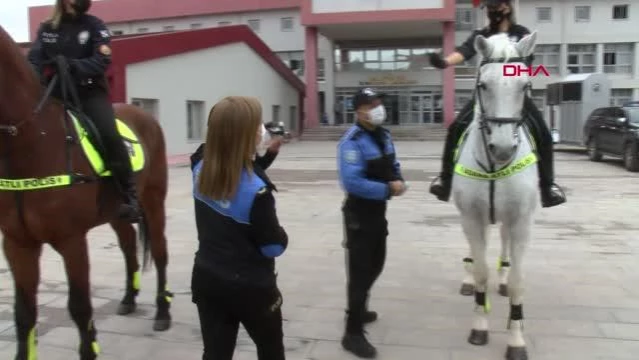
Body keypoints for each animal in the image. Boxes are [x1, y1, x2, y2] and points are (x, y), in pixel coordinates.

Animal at [0, 26, 172, 360]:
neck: (33, 141)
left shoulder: (72, 241)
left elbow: (80, 307)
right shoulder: (17, 244)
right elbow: (23, 313)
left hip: (154, 200)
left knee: (159, 253)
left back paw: (162, 313)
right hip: (117, 212)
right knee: (129, 248)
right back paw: (129, 299)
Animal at [456, 31, 540, 360]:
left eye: (525, 86)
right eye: (483, 85)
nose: (503, 149)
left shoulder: (521, 221)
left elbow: (518, 283)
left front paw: (516, 340)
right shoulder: (471, 216)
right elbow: (481, 272)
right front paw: (479, 326)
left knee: (503, 242)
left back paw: (502, 277)